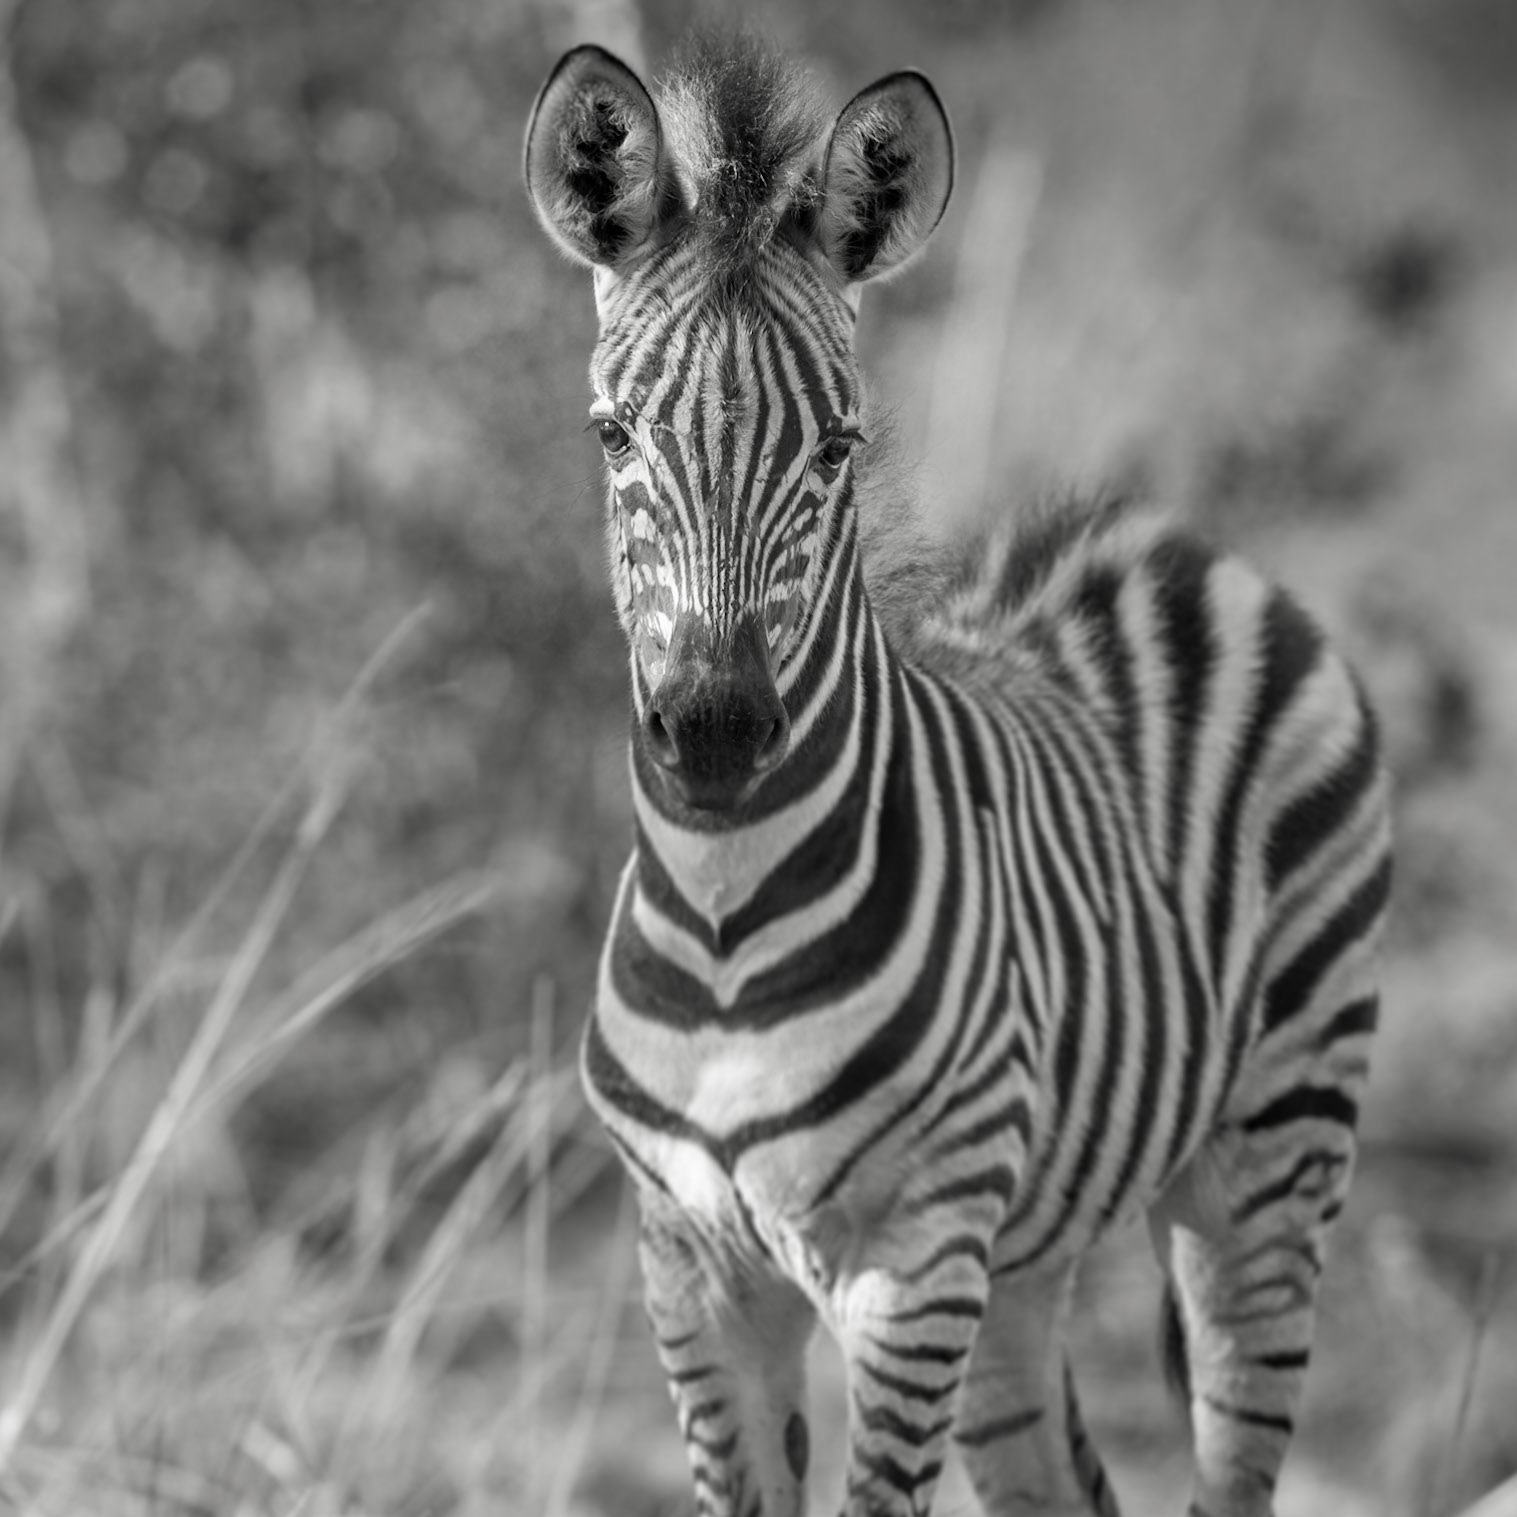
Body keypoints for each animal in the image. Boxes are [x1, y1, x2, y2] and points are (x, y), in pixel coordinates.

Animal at [524, 33, 1391, 1517]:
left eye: (836, 447)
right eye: (610, 437)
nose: (715, 735)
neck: (723, 927)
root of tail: (1176, 549)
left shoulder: (913, 1263)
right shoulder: (688, 1269)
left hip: (1272, 1148)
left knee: (1236, 1448)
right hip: (1023, 1261)